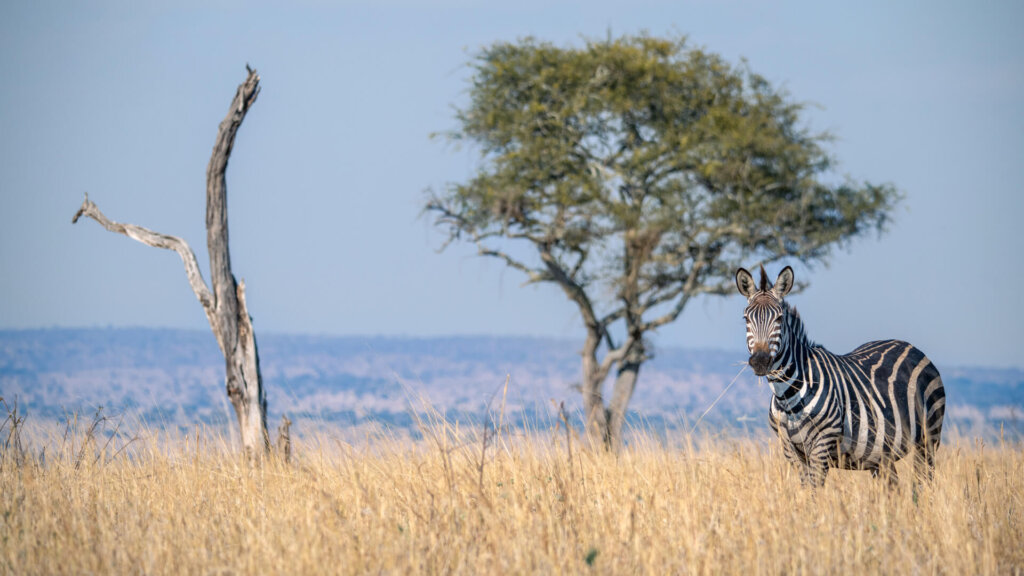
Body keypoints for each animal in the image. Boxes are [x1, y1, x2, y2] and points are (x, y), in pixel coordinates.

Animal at [735, 265, 945, 488]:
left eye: (779, 318)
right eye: (746, 319)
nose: (760, 361)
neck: (788, 396)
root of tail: (909, 346)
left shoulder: (821, 445)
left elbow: (814, 491)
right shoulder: (790, 449)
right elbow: (804, 491)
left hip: (929, 439)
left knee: (923, 484)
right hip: (882, 455)